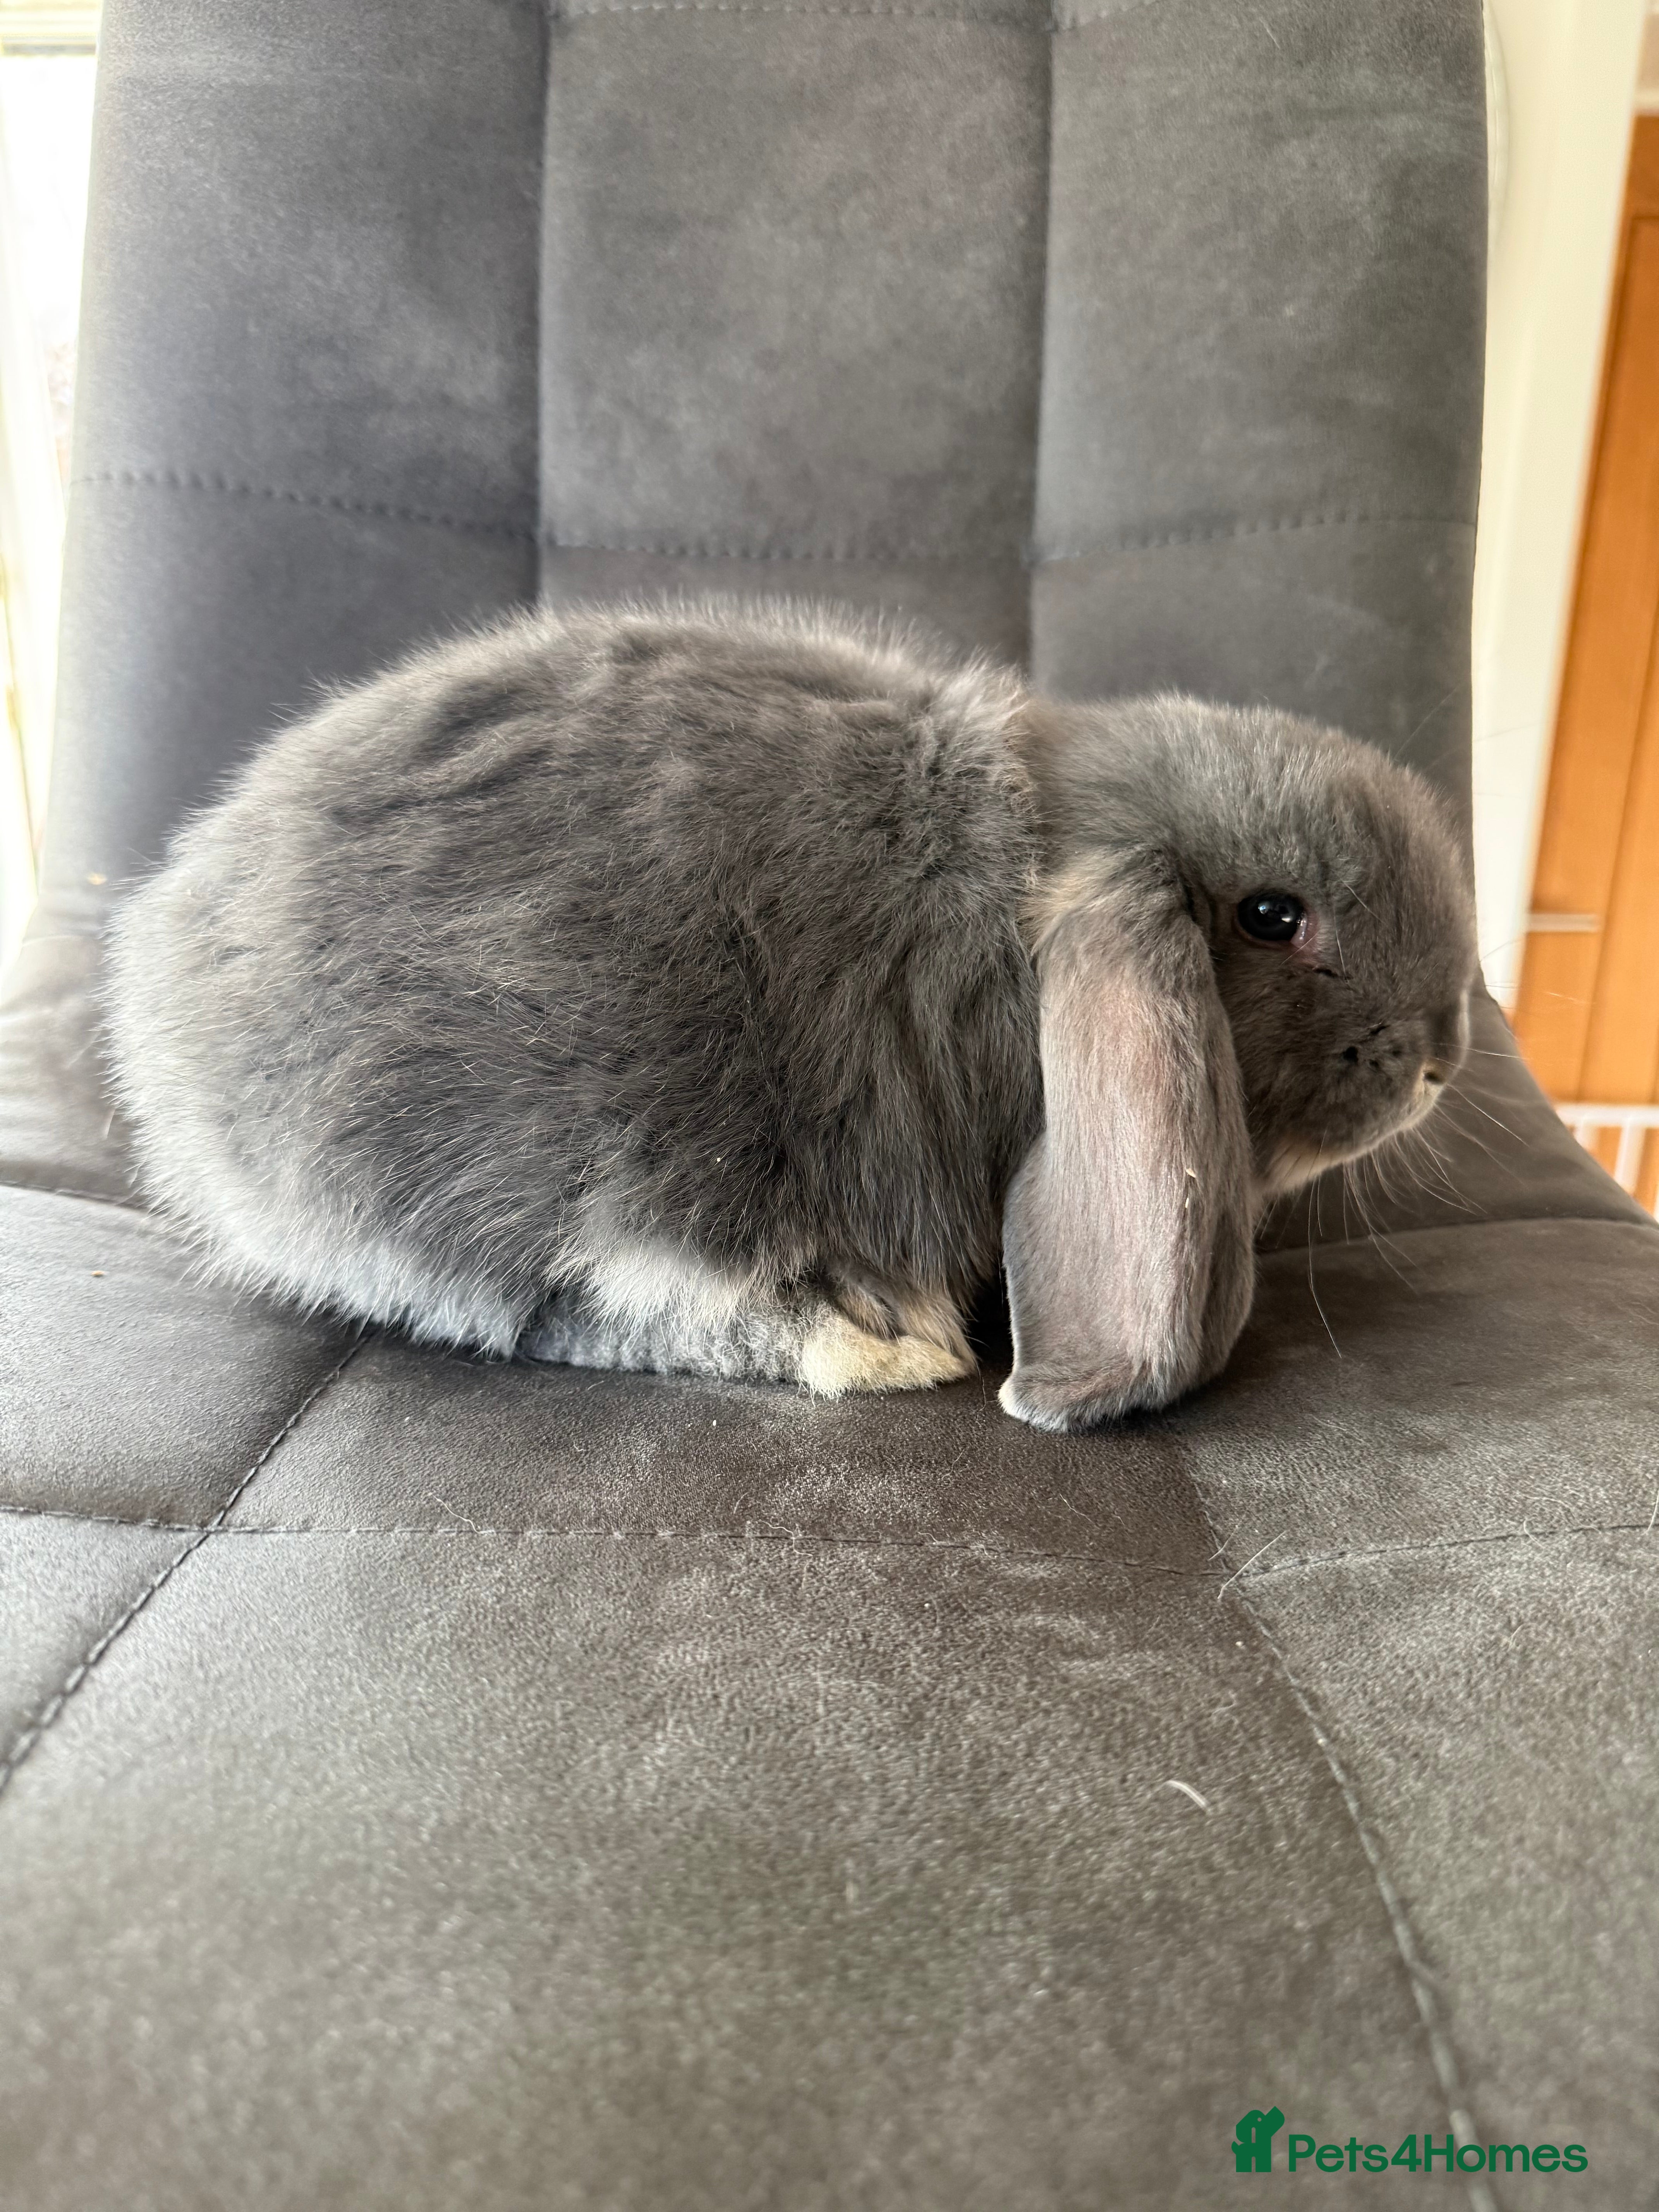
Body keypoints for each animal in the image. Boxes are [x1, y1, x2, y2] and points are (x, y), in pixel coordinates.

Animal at [104, 598, 1477, 1432]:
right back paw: (880, 1342)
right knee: (580, 1306)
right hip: (577, 1157)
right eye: (1272, 916)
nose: (1442, 1058)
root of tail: (163, 980)